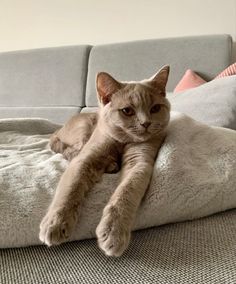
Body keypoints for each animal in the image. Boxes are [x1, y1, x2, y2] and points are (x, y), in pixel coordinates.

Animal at [39, 66, 171, 258]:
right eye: (127, 111)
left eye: (155, 108)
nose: (145, 123)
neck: (122, 142)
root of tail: (59, 129)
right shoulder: (85, 159)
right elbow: (70, 189)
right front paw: (55, 223)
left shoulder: (140, 162)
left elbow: (126, 192)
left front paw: (113, 232)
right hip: (84, 128)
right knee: (72, 150)